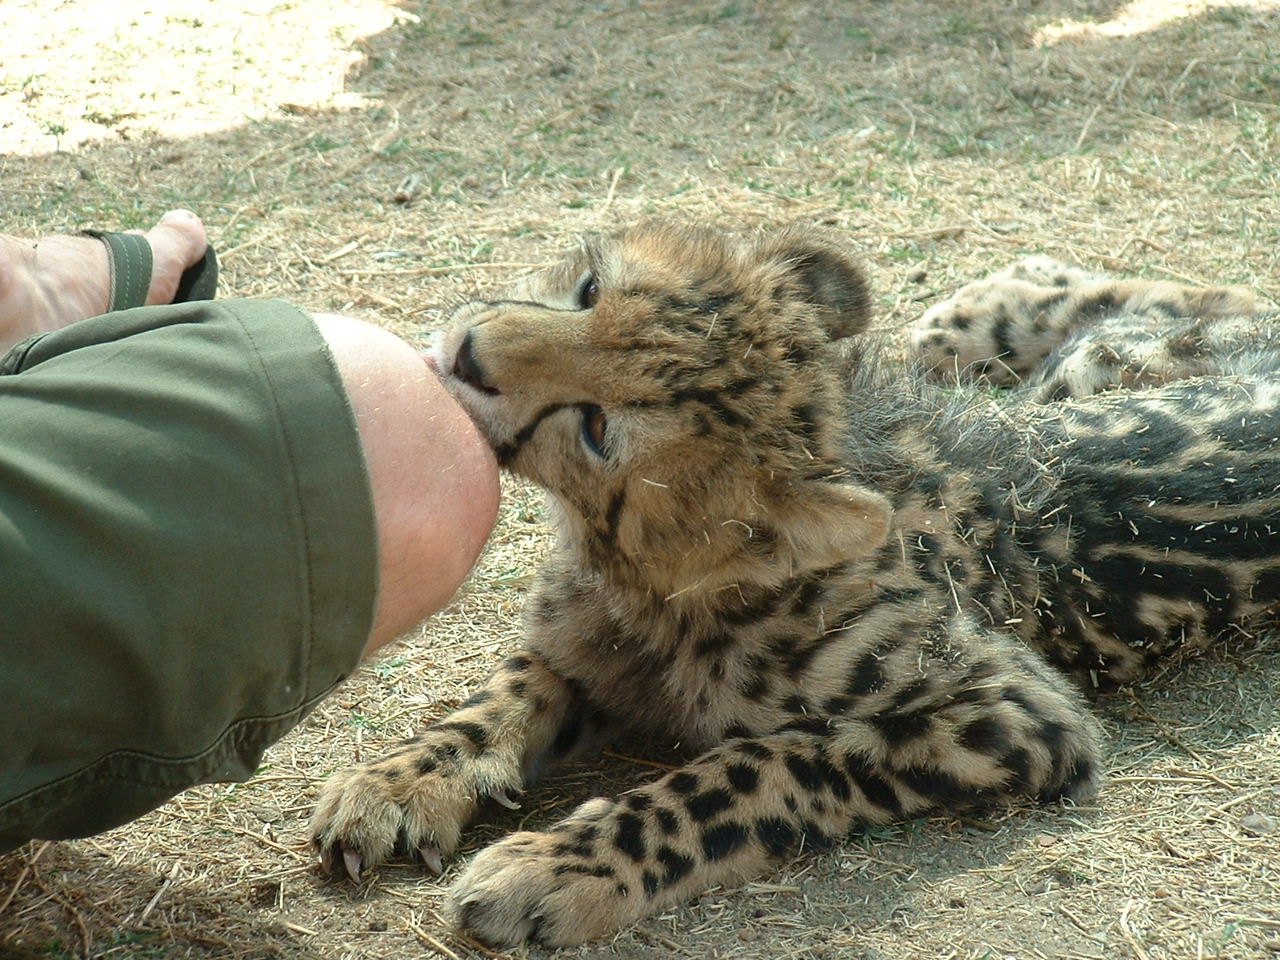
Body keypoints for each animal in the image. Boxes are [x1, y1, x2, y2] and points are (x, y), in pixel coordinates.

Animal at [309, 221, 1280, 948]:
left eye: (597, 428)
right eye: (587, 291)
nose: (466, 351)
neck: (674, 580)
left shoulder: (1012, 713)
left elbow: (754, 768)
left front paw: (560, 866)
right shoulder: (586, 643)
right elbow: (506, 693)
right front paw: (402, 780)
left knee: (1222, 298)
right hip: (1094, 375)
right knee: (1198, 300)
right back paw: (989, 302)